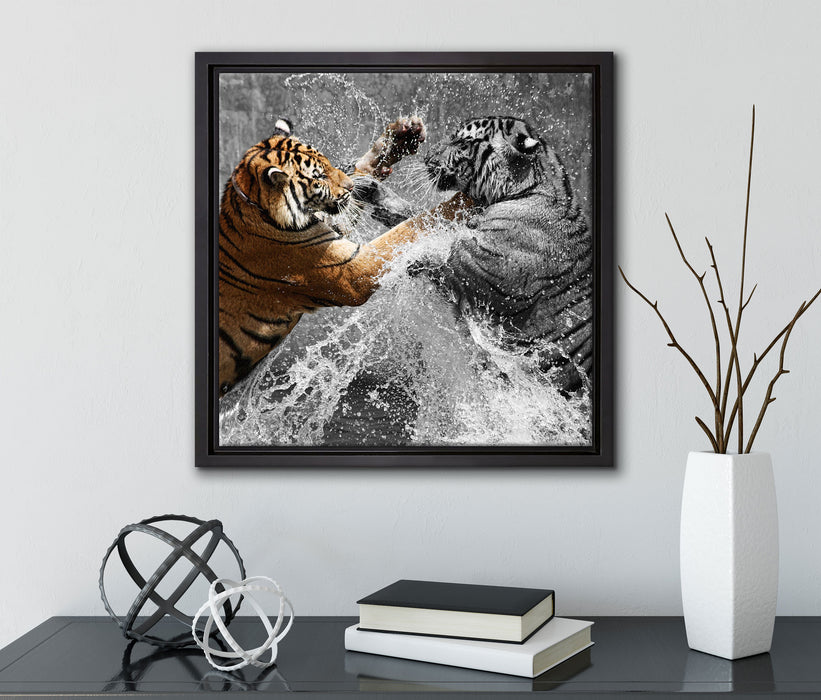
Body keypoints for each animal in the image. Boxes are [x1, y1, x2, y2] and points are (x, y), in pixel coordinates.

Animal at [218, 117, 472, 397]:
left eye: (329, 164)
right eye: (319, 177)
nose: (349, 188)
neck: (259, 208)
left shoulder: (333, 227)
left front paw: (401, 137)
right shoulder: (352, 271)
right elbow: (406, 229)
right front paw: (461, 202)